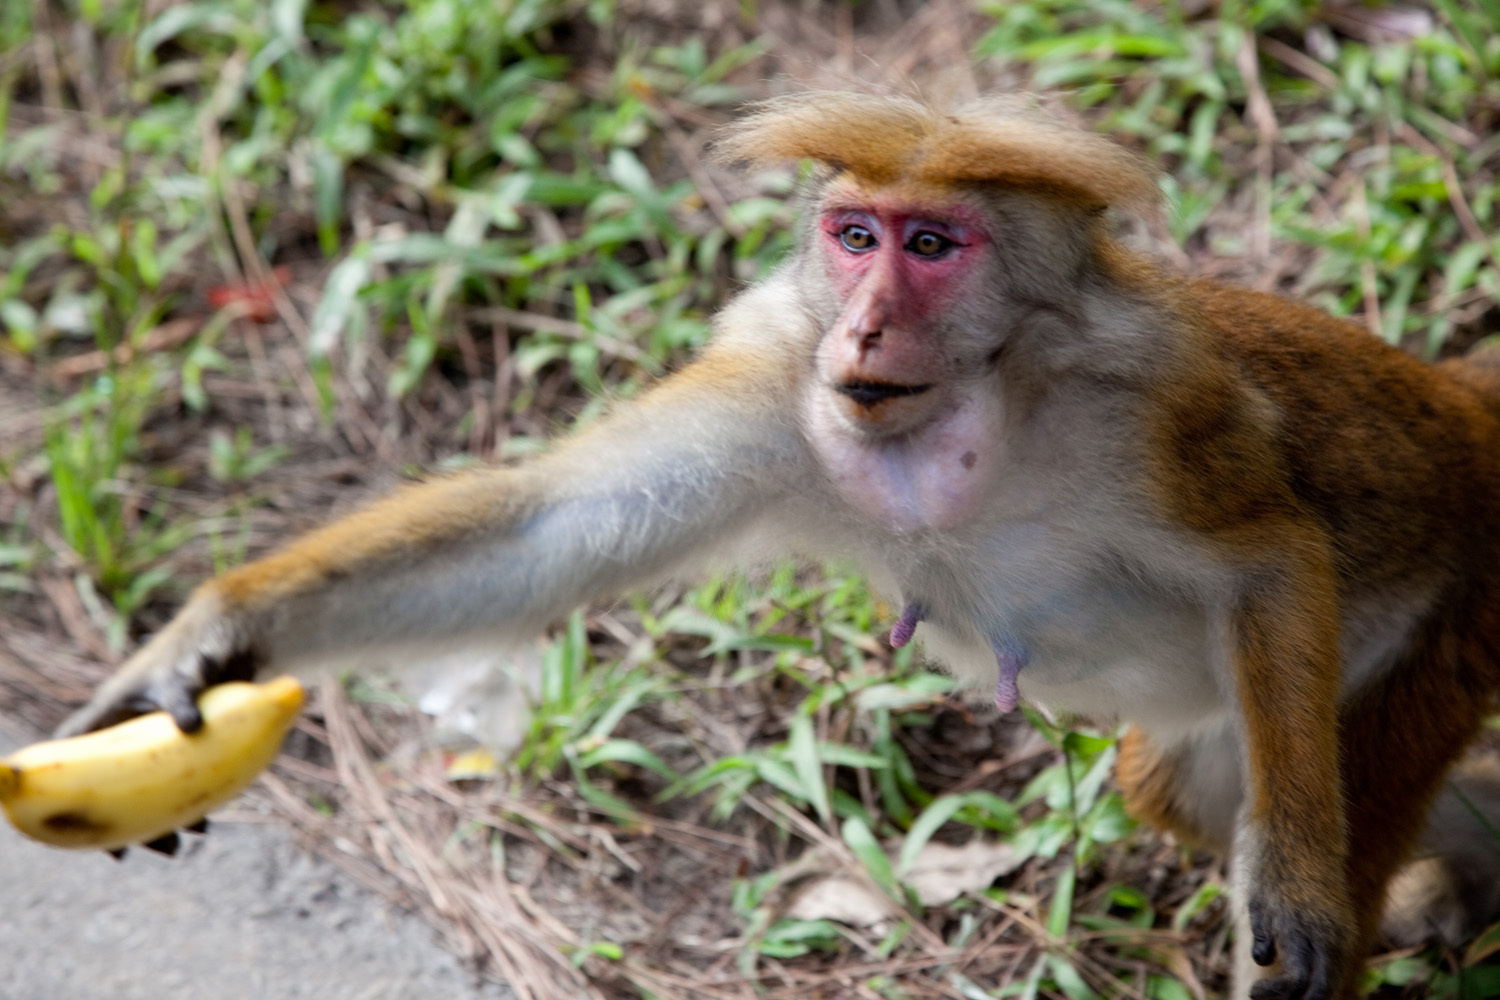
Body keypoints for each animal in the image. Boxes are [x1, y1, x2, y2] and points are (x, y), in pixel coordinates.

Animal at [58, 92, 1500, 1000]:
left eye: (933, 244)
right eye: (853, 238)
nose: (863, 327)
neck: (975, 402)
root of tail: (1470, 418)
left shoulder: (1149, 413)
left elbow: (1268, 555)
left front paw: (1299, 885)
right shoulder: (776, 384)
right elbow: (552, 527)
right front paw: (206, 640)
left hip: (1451, 621)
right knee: (1182, 786)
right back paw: (1456, 886)